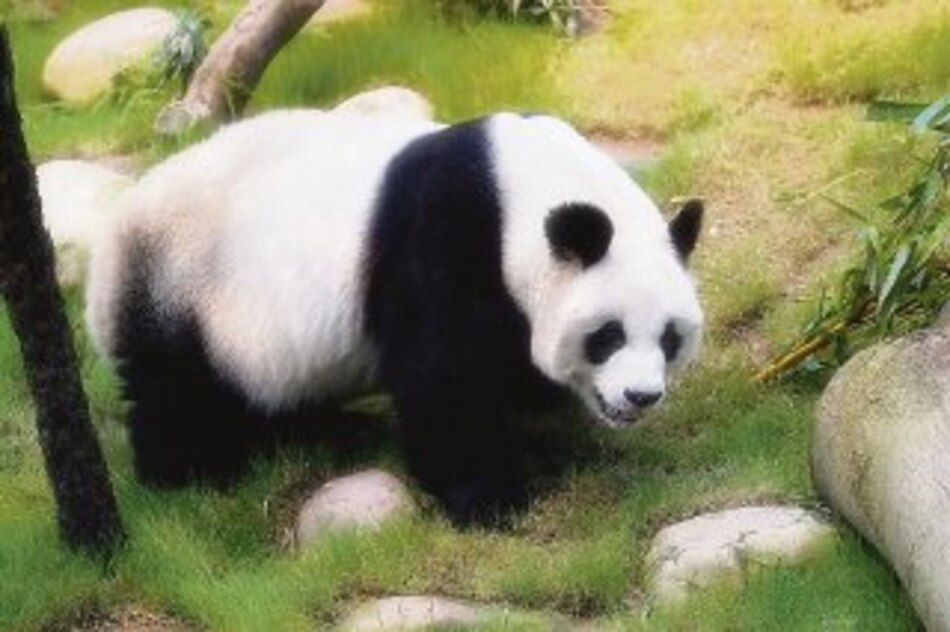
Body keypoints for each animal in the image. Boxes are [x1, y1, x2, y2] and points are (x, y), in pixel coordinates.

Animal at [86, 109, 704, 524]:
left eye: (670, 338)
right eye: (607, 335)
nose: (640, 397)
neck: (520, 188)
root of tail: (115, 230)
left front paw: (538, 411)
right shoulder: (446, 236)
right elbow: (443, 376)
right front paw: (490, 497)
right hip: (181, 286)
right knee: (178, 393)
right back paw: (189, 473)